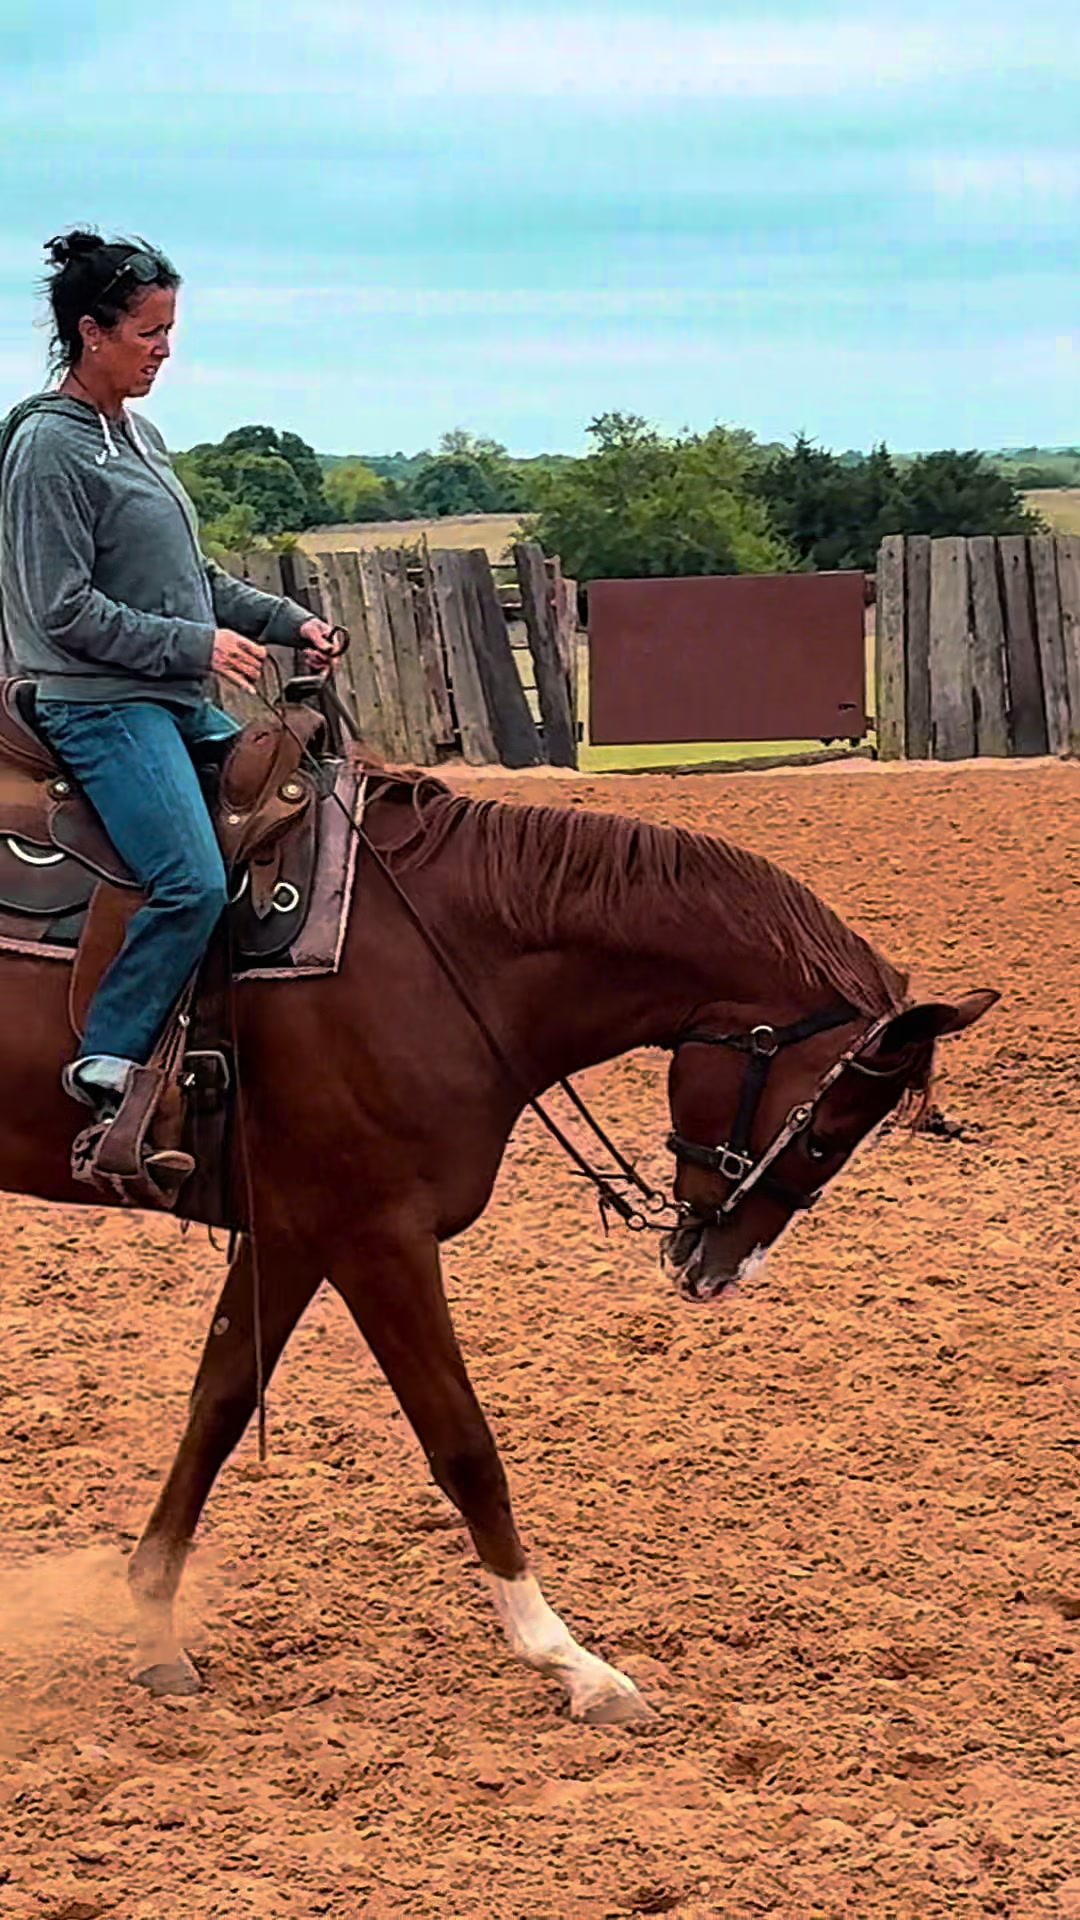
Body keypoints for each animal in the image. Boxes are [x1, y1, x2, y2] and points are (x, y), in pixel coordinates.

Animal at [0, 767, 996, 1723]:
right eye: (826, 1131)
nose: (717, 1271)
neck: (450, 952)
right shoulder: (374, 1235)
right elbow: (465, 1446)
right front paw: (573, 1664)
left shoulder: (291, 1231)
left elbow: (220, 1404)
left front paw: (153, 1627)